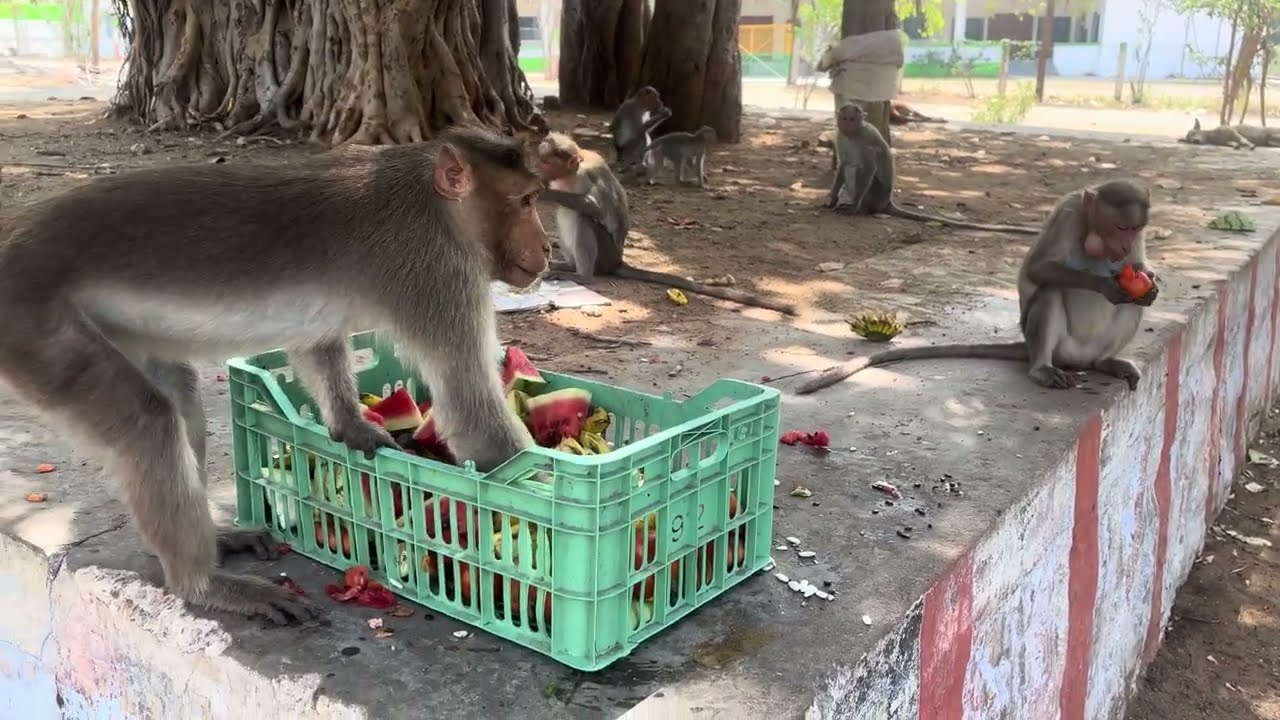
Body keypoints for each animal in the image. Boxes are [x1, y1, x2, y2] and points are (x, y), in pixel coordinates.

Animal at [0, 126, 551, 625]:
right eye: (525, 201)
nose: (547, 248)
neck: (434, 202)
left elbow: (316, 341)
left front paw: (349, 425)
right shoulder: (437, 270)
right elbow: (470, 413)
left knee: (181, 399)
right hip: (35, 328)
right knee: (148, 420)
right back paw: (202, 584)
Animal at [535, 132, 799, 316]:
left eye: (548, 162)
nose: (540, 171)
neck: (572, 172)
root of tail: (618, 260)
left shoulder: (586, 175)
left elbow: (595, 208)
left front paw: (543, 193)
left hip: (606, 253)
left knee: (581, 218)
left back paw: (582, 275)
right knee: (565, 214)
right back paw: (567, 265)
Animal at [796, 179, 1159, 394]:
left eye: (1135, 229)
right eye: (1120, 227)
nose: (1124, 246)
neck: (1090, 229)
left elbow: (1139, 273)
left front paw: (1150, 282)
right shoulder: (1067, 213)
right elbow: (1038, 269)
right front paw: (1105, 285)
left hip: (1090, 350)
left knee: (1130, 307)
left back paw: (1106, 362)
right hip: (1060, 348)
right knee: (1050, 293)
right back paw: (1041, 369)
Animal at [826, 103, 1041, 236]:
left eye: (852, 119)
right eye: (845, 118)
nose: (847, 123)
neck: (853, 134)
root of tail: (886, 201)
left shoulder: (867, 136)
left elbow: (869, 167)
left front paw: (854, 207)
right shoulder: (841, 136)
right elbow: (843, 164)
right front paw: (832, 198)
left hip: (876, 195)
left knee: (857, 169)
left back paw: (861, 208)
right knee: (850, 167)